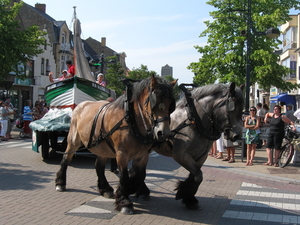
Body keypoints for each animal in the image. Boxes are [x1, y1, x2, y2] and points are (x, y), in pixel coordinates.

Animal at [55, 74, 177, 214]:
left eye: (171, 104)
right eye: (154, 102)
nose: (164, 133)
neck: (131, 119)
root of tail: (81, 105)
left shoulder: (142, 155)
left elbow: (141, 175)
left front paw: (132, 189)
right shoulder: (121, 154)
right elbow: (124, 176)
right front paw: (124, 201)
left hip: (102, 147)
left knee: (99, 166)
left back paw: (105, 189)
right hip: (73, 140)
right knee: (66, 159)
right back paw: (60, 183)